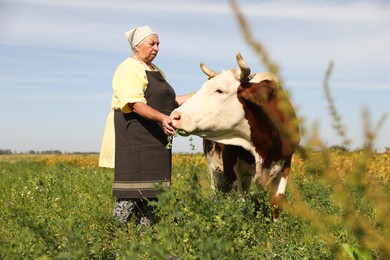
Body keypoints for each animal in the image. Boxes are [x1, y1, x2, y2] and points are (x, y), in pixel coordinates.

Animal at [171, 52, 302, 219]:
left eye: (219, 90)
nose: (175, 116)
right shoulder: (230, 166)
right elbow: (241, 203)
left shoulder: (285, 164)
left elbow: (277, 203)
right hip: (213, 167)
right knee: (216, 190)